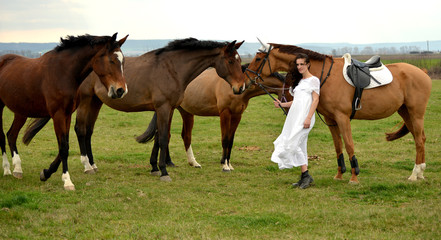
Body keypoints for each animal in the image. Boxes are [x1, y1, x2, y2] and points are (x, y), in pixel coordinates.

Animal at [1, 32, 129, 189]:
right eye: (111, 60)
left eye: (123, 61)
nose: (121, 90)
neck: (63, 73)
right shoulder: (58, 115)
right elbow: (63, 147)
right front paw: (67, 181)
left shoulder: (67, 115)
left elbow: (65, 144)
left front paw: (46, 173)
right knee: (2, 136)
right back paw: (7, 169)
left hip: (21, 112)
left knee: (11, 135)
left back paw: (17, 169)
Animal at [24, 37, 248, 181]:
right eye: (230, 60)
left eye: (239, 61)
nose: (240, 87)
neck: (172, 68)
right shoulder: (163, 107)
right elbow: (163, 137)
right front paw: (164, 172)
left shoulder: (167, 108)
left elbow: (159, 137)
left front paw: (155, 167)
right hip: (85, 101)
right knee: (80, 130)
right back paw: (86, 166)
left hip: (96, 102)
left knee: (88, 132)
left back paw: (90, 164)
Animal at [246, 42, 432, 183]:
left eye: (258, 58)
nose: (247, 79)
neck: (325, 75)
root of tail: (422, 72)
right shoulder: (331, 119)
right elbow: (338, 146)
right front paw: (339, 174)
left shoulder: (343, 118)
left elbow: (349, 144)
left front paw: (354, 176)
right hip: (405, 112)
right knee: (419, 138)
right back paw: (420, 172)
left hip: (416, 113)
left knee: (419, 139)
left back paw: (415, 174)